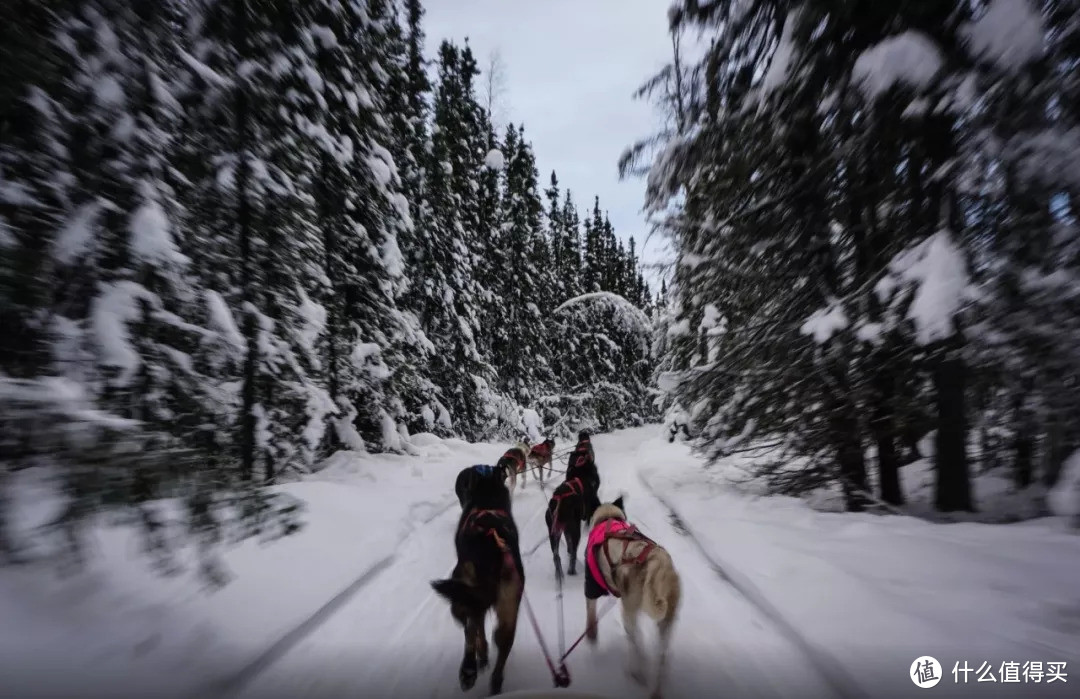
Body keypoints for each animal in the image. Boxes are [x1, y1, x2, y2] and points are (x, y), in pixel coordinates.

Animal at [434, 464, 527, 695]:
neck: (488, 497)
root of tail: (494, 549)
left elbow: (477, 632)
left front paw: (480, 655)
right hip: (508, 607)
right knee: (502, 643)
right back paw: (495, 684)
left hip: (463, 595)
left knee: (470, 629)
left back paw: (468, 671)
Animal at [587, 496, 678, 699]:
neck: (608, 519)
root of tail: (657, 564)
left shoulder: (592, 586)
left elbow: (590, 613)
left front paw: (591, 635)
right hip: (666, 622)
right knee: (660, 656)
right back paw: (655, 691)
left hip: (629, 613)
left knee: (637, 643)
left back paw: (636, 672)